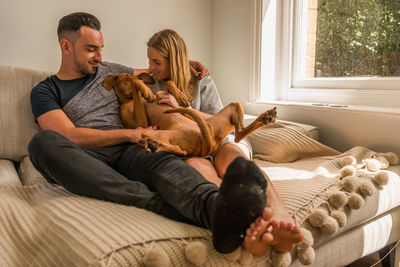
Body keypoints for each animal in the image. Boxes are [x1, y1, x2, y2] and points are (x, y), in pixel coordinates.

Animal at [103, 73, 276, 157]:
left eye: (137, 76)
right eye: (125, 78)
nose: (143, 82)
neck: (131, 99)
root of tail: (207, 145)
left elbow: (169, 83)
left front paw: (178, 95)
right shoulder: (141, 122)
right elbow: (136, 88)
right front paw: (143, 89)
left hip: (232, 107)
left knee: (238, 135)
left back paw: (265, 117)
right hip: (149, 132)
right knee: (181, 152)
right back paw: (153, 146)